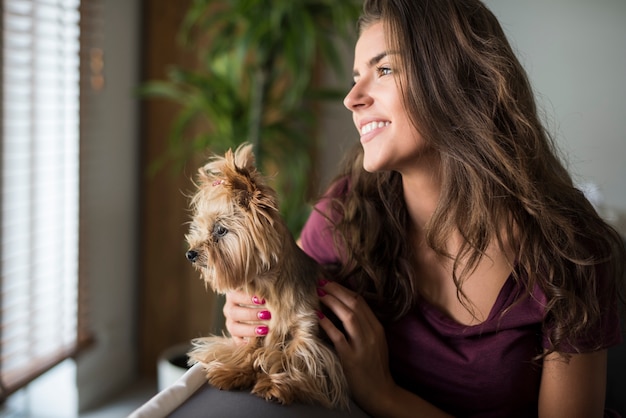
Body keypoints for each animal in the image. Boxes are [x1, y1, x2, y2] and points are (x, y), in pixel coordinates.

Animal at [185, 144, 348, 408]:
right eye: (198, 228)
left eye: (220, 230)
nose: (190, 253)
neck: (268, 285)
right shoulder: (257, 324)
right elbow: (250, 348)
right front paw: (234, 372)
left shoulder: (306, 331)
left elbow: (295, 357)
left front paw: (275, 385)